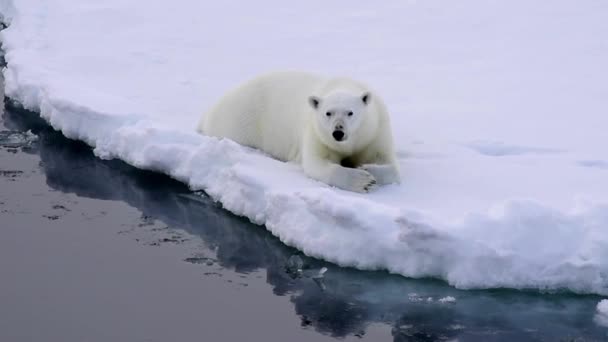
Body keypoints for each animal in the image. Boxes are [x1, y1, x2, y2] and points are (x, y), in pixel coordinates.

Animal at [197, 71, 402, 192]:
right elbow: (317, 163)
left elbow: (387, 162)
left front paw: (367, 169)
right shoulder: (316, 133)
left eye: (350, 113)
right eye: (328, 113)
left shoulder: (376, 129)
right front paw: (362, 180)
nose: (338, 133)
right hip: (239, 121)